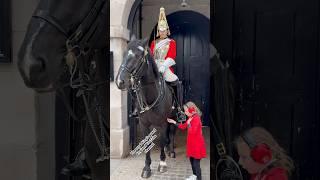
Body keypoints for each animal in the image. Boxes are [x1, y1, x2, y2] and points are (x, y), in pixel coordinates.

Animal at [115, 37, 180, 177]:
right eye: (124, 54)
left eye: (138, 56)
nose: (119, 81)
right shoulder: (144, 123)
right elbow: (147, 142)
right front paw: (146, 167)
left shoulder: (162, 123)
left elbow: (162, 140)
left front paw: (162, 163)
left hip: (174, 118)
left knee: (172, 133)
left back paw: (171, 151)